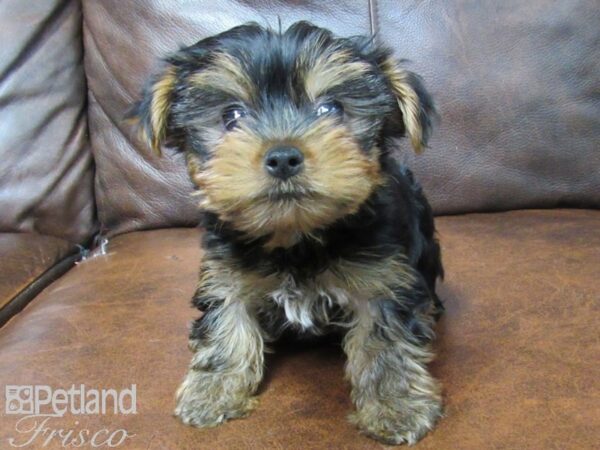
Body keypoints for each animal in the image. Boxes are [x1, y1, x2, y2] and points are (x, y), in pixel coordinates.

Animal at [129, 20, 442, 442]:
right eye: (232, 115)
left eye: (331, 108)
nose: (282, 156)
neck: (294, 236)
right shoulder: (226, 274)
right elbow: (226, 324)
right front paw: (212, 391)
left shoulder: (382, 279)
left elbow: (384, 340)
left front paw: (396, 405)